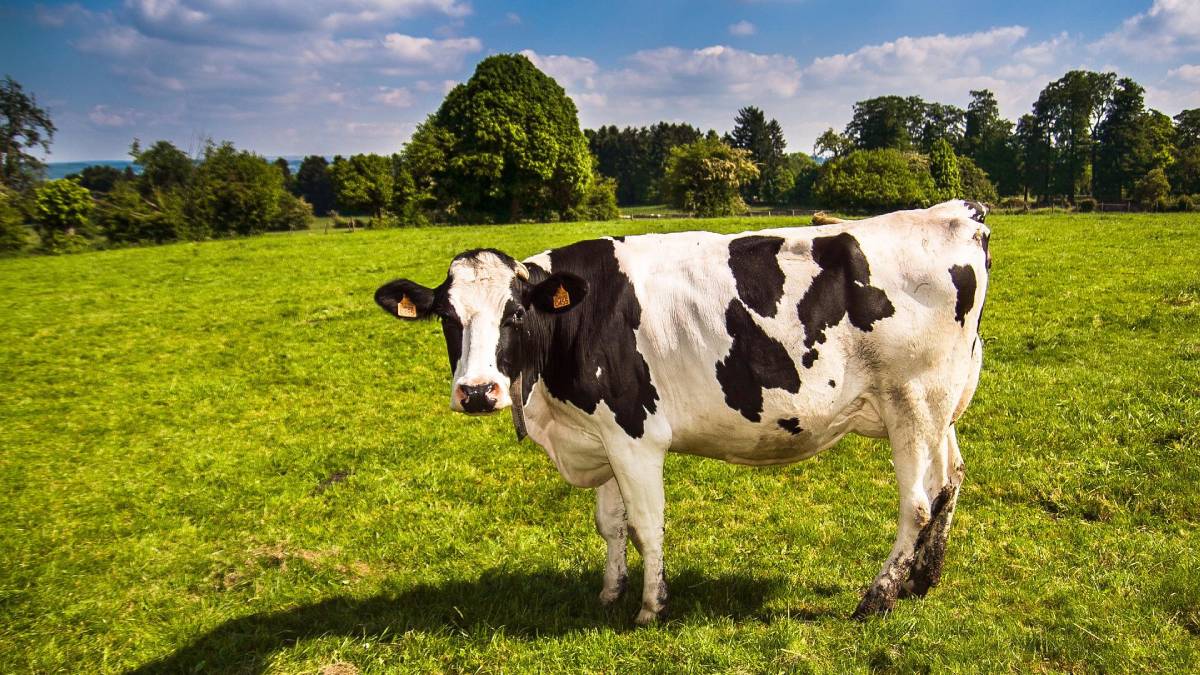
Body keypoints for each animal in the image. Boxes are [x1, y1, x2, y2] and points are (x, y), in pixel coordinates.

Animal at [374, 200, 991, 624]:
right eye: (447, 318)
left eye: (516, 313)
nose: (478, 392)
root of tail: (957, 213)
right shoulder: (600, 433)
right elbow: (610, 523)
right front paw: (609, 592)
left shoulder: (634, 433)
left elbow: (646, 523)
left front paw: (651, 606)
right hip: (939, 405)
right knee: (950, 480)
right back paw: (922, 579)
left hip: (912, 401)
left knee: (917, 502)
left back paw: (878, 596)